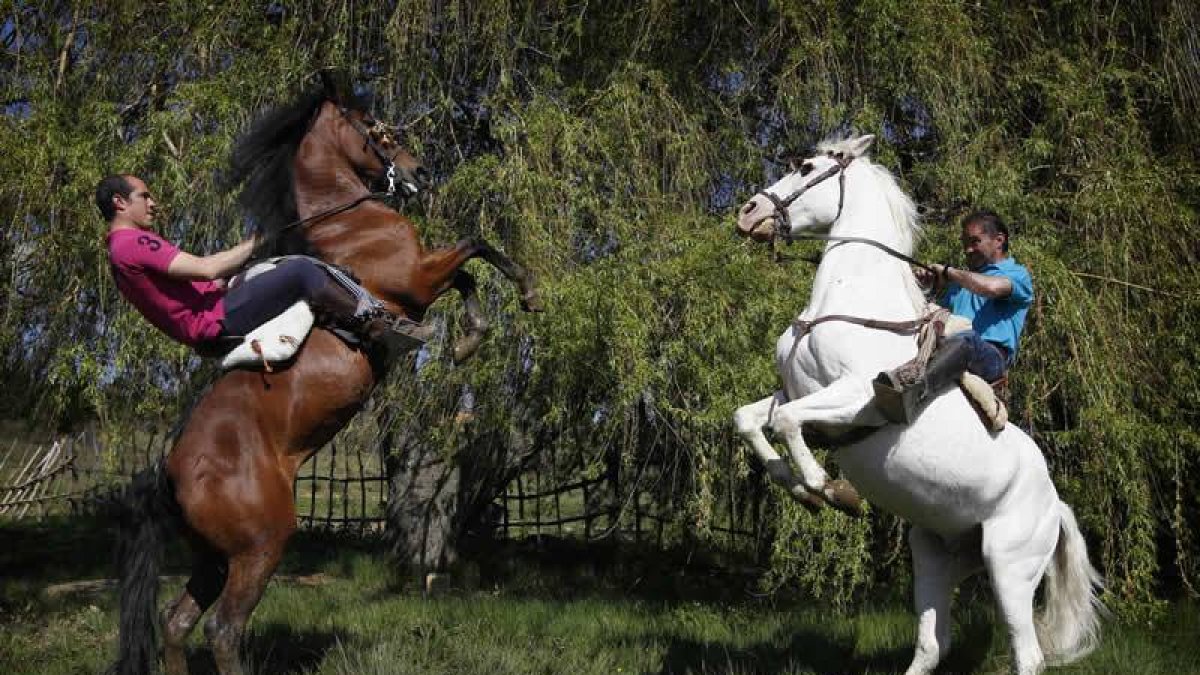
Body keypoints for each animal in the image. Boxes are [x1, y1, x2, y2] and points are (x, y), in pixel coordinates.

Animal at [110, 75, 542, 675]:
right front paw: (525, 294)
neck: (345, 223)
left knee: (176, 624)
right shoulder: (416, 278)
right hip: (260, 545)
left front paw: (467, 338)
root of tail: (169, 471)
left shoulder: (423, 279)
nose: (421, 172)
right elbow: (475, 246)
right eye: (378, 130)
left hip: (213, 556)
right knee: (223, 629)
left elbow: (468, 275)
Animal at [732, 134, 1104, 675]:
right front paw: (799, 488)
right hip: (936, 553)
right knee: (933, 644)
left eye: (805, 168)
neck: (849, 301)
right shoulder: (796, 390)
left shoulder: (856, 398)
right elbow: (749, 419)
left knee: (1027, 653)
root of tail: (1056, 506)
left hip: (1009, 564)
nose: (748, 213)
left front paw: (830, 490)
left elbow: (785, 421)